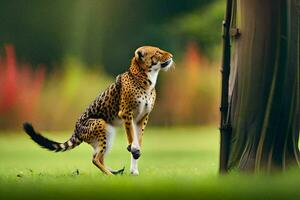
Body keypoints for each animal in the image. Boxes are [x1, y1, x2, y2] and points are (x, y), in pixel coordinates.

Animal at [23, 45, 173, 175]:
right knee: (95, 159)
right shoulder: (126, 114)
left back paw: (114, 172)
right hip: (100, 123)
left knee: (99, 157)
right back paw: (111, 176)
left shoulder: (142, 117)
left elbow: (138, 139)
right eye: (158, 52)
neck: (146, 78)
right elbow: (132, 138)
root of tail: (76, 128)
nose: (171, 56)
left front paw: (134, 170)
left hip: (108, 131)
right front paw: (134, 151)